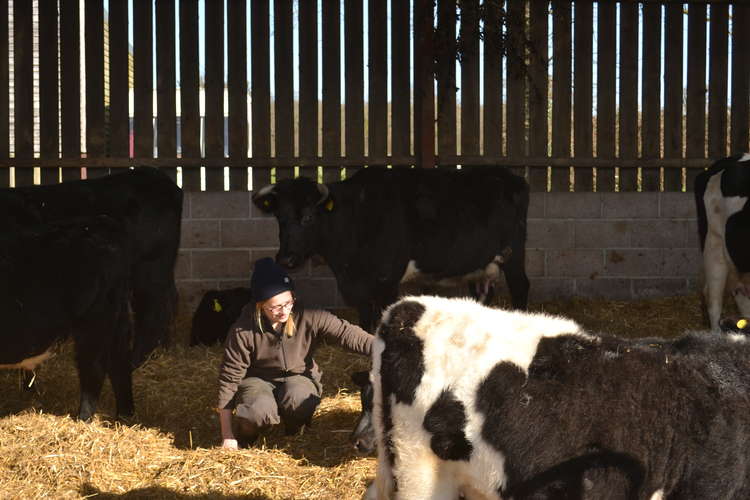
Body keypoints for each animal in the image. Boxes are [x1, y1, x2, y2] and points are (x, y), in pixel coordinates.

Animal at [0, 216, 134, 422]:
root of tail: (99, 224)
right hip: (117, 321)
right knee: (120, 362)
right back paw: (124, 417)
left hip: (95, 323)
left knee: (94, 368)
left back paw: (83, 419)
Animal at [251, 166, 528, 330]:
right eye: (279, 217)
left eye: (308, 217)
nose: (285, 259)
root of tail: (508, 176)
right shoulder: (356, 287)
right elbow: (366, 323)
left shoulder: (387, 280)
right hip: (480, 263)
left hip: (513, 255)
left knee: (521, 287)